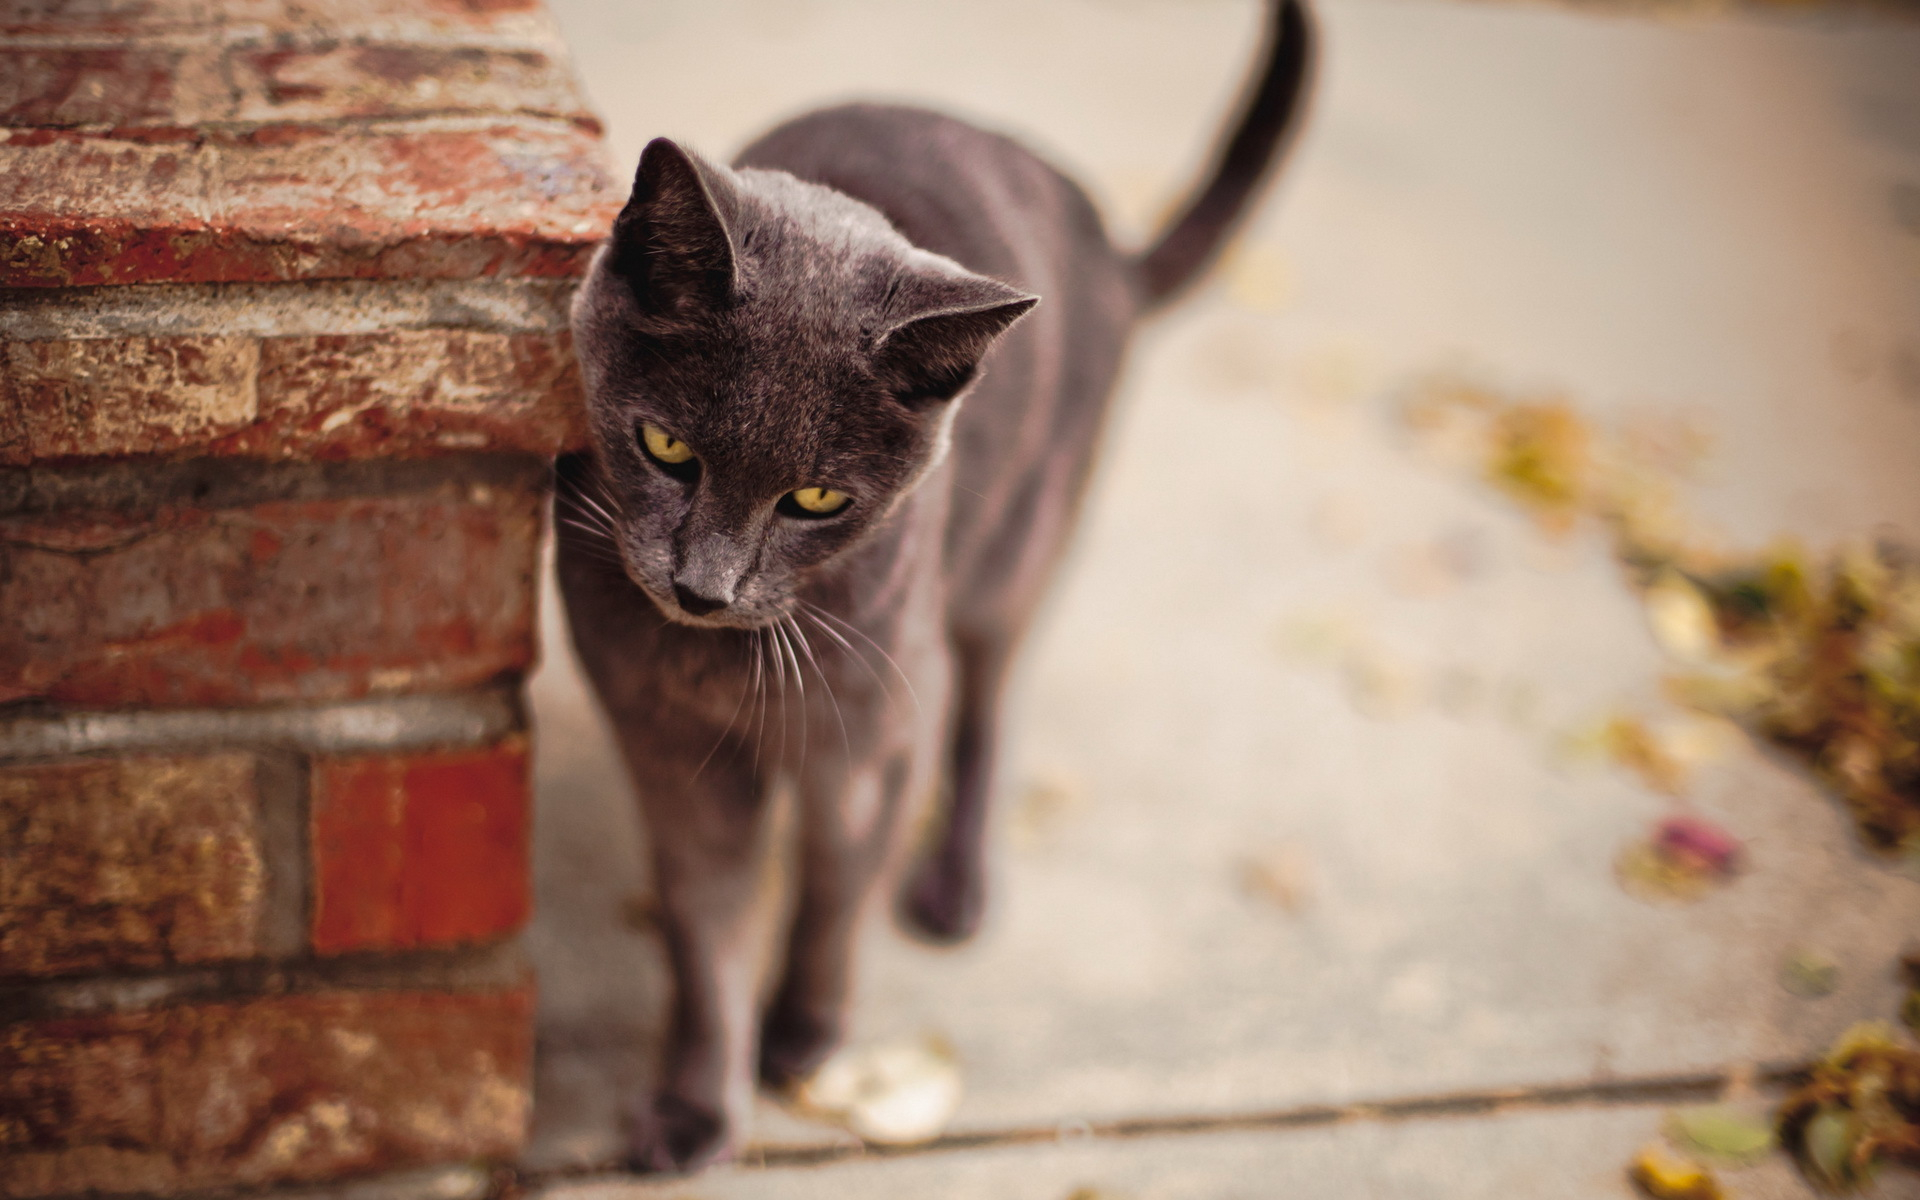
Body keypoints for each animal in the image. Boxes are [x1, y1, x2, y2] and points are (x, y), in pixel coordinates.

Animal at [549, 2, 1313, 1167]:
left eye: (817, 500)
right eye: (666, 446)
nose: (702, 587)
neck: (718, 666)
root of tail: (1112, 252)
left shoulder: (873, 741)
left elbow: (832, 895)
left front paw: (805, 1039)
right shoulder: (670, 755)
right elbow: (705, 929)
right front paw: (694, 1109)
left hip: (1009, 570)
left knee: (989, 717)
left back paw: (955, 889)